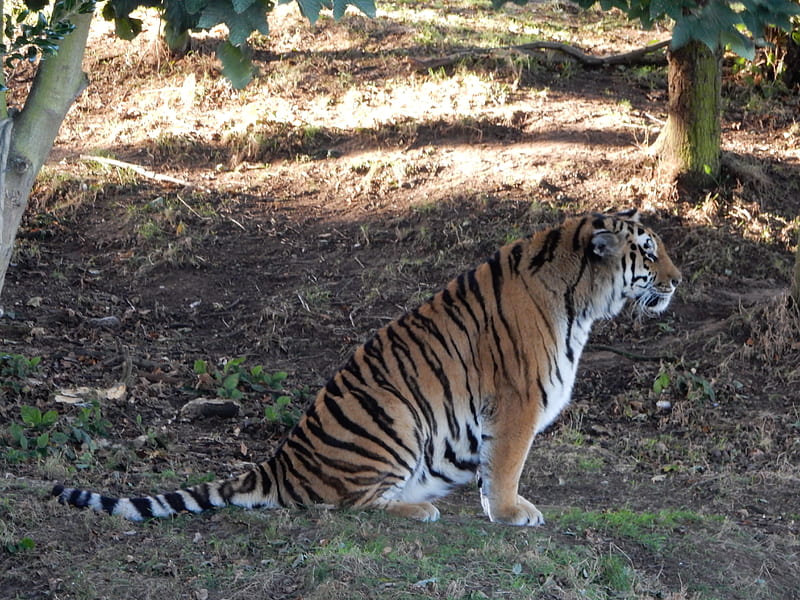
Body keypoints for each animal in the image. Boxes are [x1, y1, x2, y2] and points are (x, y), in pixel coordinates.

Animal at [50, 210, 680, 524]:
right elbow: (505, 466)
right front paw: (509, 513)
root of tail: (279, 464)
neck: (583, 299)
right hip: (398, 418)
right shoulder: (516, 401)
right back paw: (422, 511)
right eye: (649, 253)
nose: (677, 281)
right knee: (348, 504)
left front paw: (494, 508)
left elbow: (490, 467)